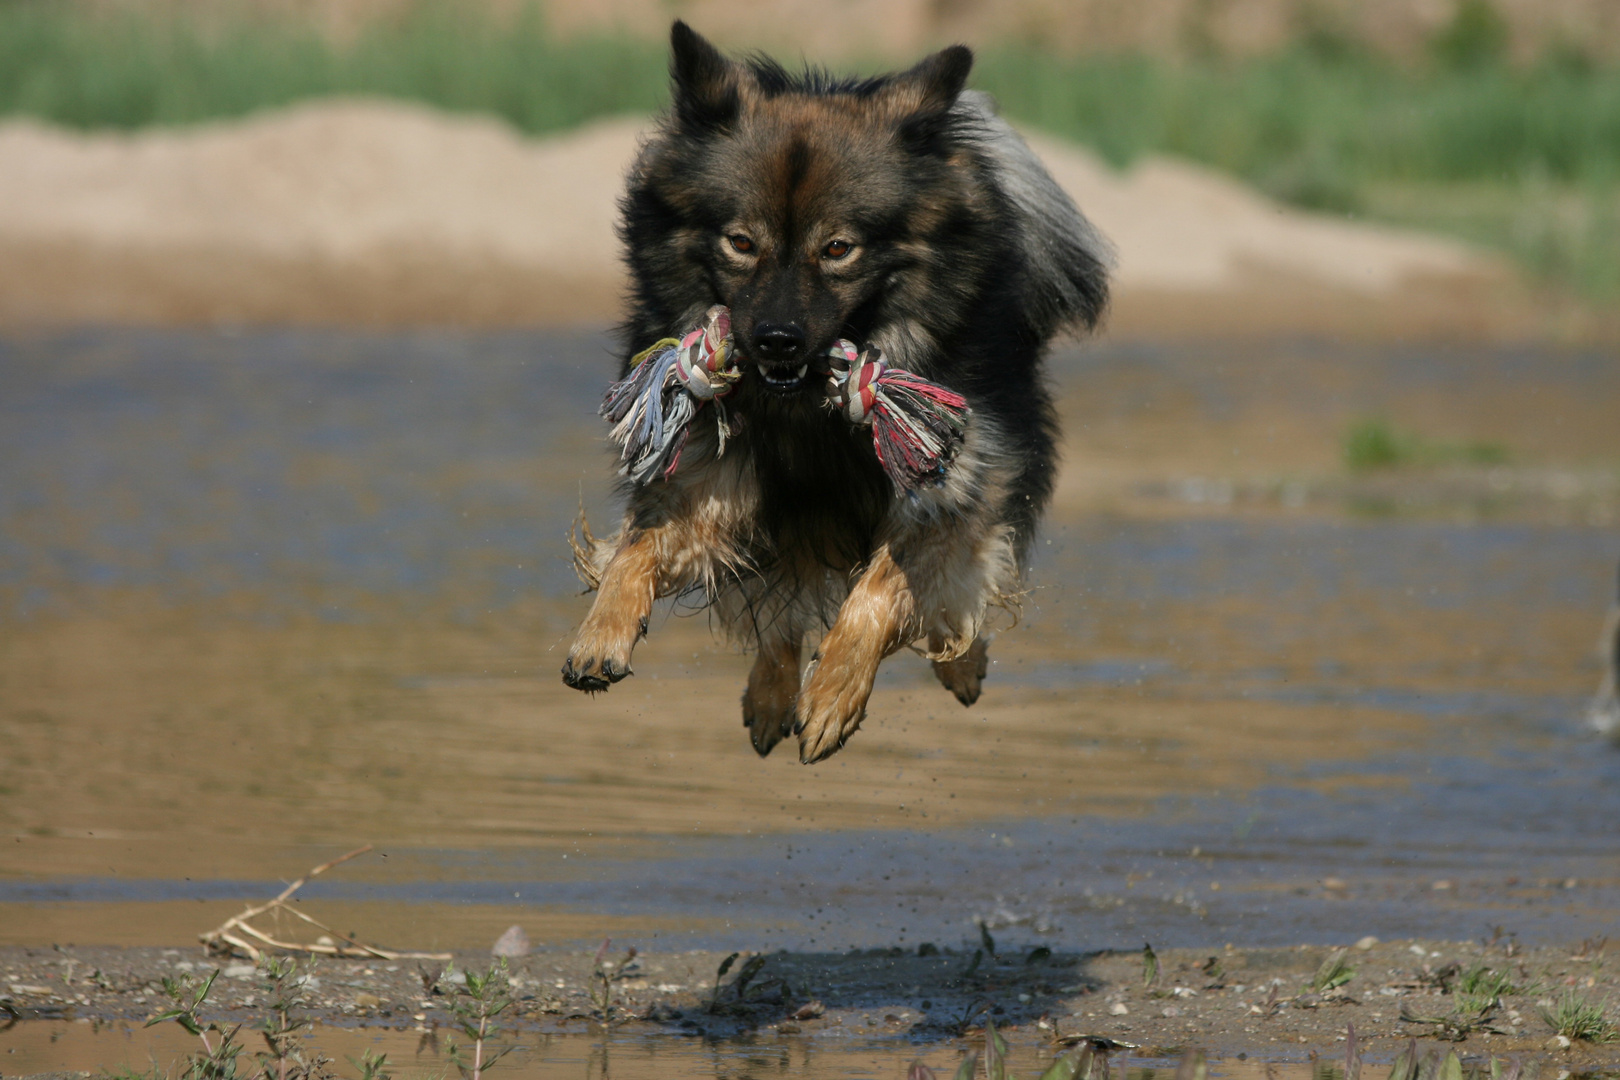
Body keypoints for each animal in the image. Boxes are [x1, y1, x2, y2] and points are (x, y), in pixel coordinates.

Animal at [563, 21, 1108, 764]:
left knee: (967, 577)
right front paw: (601, 634)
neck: (805, 415)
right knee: (781, 607)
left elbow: (884, 588)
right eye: (741, 243)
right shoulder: (709, 475)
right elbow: (640, 547)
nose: (777, 341)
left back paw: (957, 662)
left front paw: (833, 695)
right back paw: (769, 697)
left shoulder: (943, 486)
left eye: (839, 249)